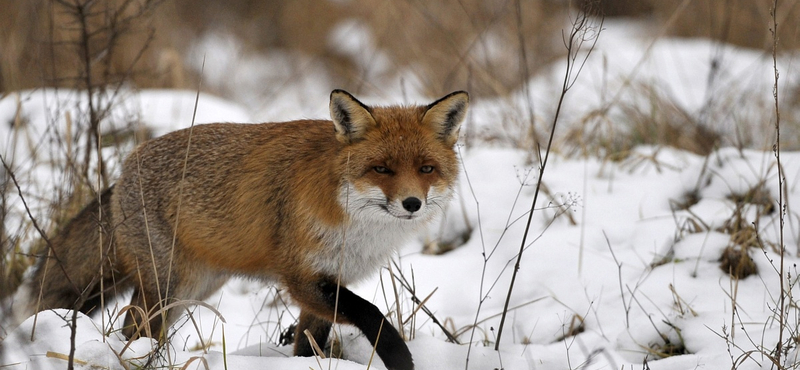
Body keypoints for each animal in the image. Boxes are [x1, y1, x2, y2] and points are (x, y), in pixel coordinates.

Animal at [21, 89, 468, 370]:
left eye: (426, 169)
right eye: (382, 169)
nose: (412, 204)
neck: (355, 224)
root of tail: (122, 171)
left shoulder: (327, 280)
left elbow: (309, 343)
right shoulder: (301, 277)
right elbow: (372, 313)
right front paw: (400, 359)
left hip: (193, 289)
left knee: (137, 331)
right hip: (168, 285)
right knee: (131, 330)